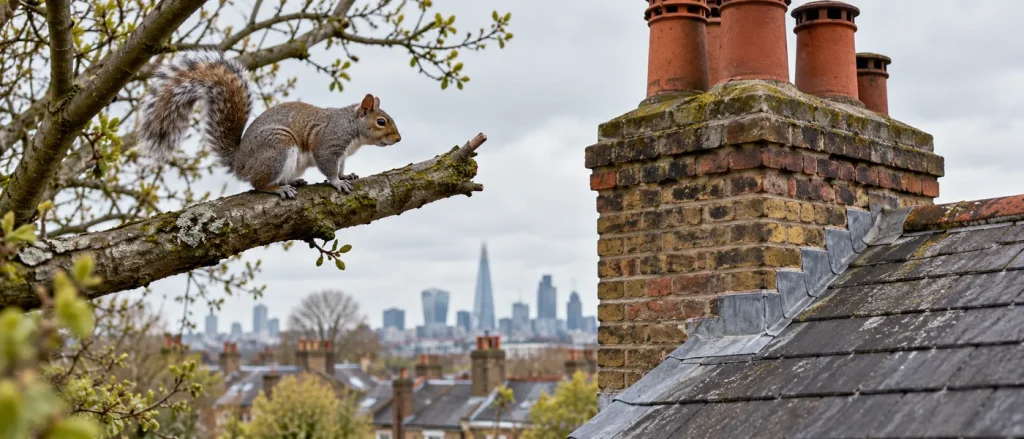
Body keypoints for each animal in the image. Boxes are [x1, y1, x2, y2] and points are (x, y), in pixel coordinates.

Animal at [136, 51, 402, 199]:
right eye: (381, 121)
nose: (398, 139)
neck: (352, 126)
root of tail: (240, 162)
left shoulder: (342, 153)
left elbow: (340, 166)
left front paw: (347, 174)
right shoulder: (329, 142)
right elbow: (327, 166)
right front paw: (338, 182)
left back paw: (292, 181)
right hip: (278, 148)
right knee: (258, 184)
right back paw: (277, 189)